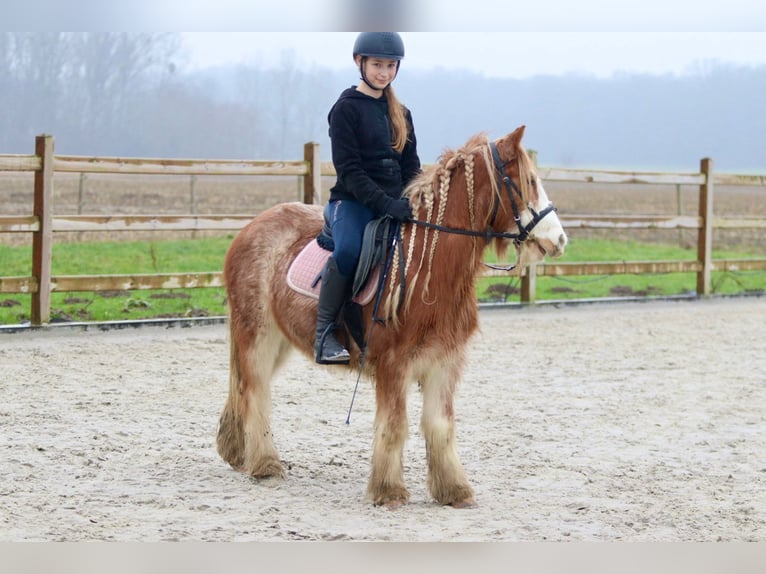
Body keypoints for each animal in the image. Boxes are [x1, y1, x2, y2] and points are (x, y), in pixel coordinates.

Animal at [219, 125, 568, 508]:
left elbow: (440, 425)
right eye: (530, 181)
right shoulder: (392, 364)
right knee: (255, 393)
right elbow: (395, 425)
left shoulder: (445, 361)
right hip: (258, 335)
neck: (427, 266)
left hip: (280, 341)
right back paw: (265, 464)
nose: (559, 239)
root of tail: (249, 229)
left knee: (247, 390)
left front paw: (454, 490)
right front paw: (388, 491)